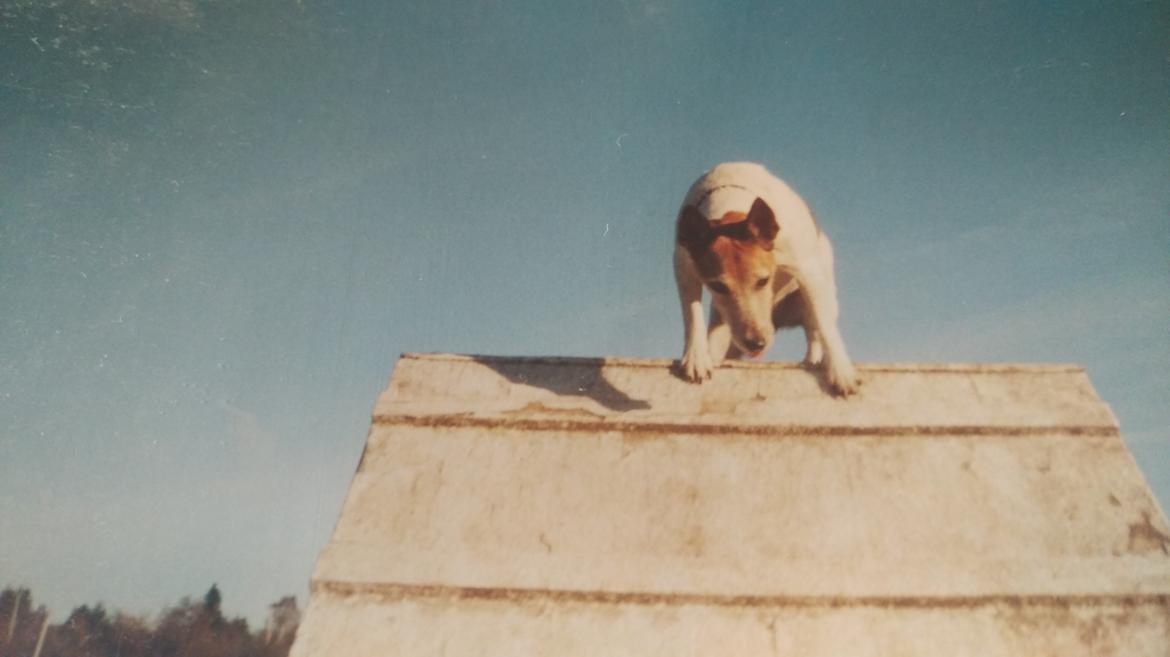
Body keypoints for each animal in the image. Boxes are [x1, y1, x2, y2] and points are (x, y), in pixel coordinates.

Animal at [673, 160, 865, 392]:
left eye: (764, 281)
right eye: (718, 286)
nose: (756, 344)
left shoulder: (808, 270)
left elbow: (826, 325)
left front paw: (841, 372)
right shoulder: (683, 268)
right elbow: (692, 314)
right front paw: (696, 359)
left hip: (818, 292)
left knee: (815, 330)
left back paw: (812, 360)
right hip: (723, 321)